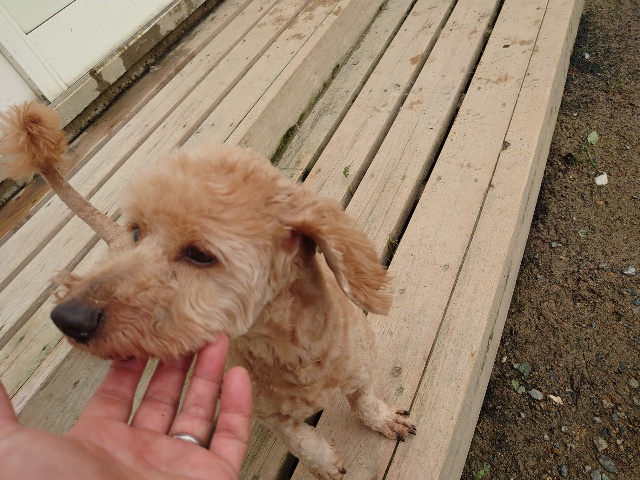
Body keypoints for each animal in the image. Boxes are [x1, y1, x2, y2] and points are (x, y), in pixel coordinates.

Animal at [1, 102, 415, 479]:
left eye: (200, 255)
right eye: (139, 232)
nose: (66, 319)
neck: (290, 353)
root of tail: (113, 237)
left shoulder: (360, 369)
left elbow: (364, 402)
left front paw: (385, 420)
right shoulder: (272, 418)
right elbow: (305, 444)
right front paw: (327, 466)